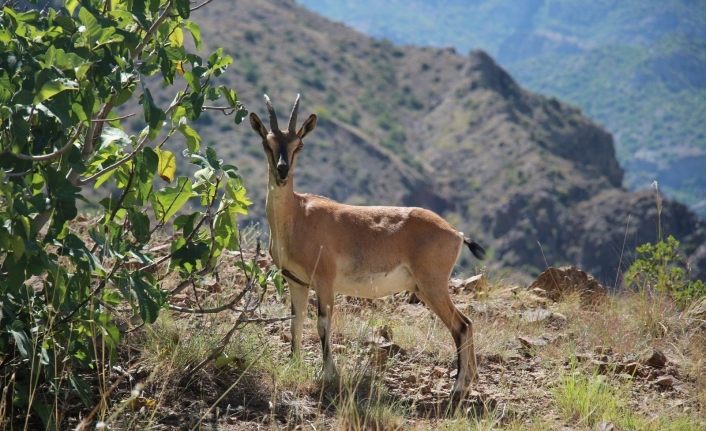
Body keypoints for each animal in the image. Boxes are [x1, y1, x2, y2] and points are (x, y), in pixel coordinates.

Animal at [248, 94, 484, 402]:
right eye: (267, 142)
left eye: (298, 144)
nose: (282, 171)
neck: (298, 215)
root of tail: (456, 234)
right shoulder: (296, 282)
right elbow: (295, 322)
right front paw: (294, 364)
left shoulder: (325, 281)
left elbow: (323, 323)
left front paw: (328, 374)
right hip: (424, 289)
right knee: (465, 325)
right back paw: (467, 385)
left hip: (433, 286)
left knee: (462, 325)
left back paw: (457, 389)